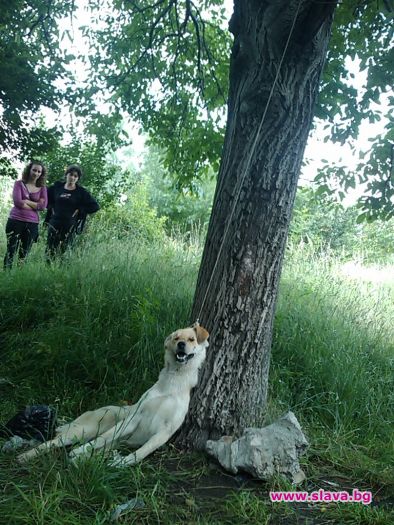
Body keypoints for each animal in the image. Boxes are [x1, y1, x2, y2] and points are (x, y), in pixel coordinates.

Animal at [18, 322, 209, 464]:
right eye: (176, 338)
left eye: (191, 339)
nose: (181, 344)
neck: (173, 382)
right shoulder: (134, 418)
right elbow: (102, 438)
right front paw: (81, 450)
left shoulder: (165, 432)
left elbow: (141, 452)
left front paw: (122, 463)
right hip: (83, 430)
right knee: (52, 442)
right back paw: (26, 456)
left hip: (108, 444)